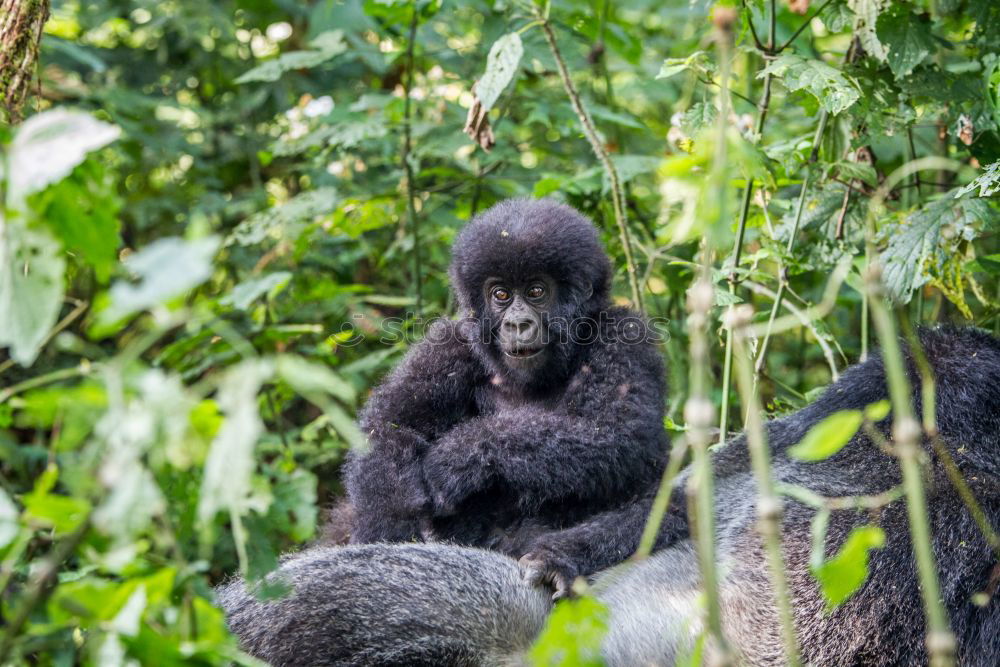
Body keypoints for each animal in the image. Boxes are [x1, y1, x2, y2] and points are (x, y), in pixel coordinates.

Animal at [340, 197, 668, 560]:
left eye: (536, 290)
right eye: (501, 295)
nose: (517, 324)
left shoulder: (624, 337)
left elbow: (617, 430)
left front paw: (458, 456)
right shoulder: (449, 345)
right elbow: (389, 426)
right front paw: (387, 525)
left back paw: (558, 559)